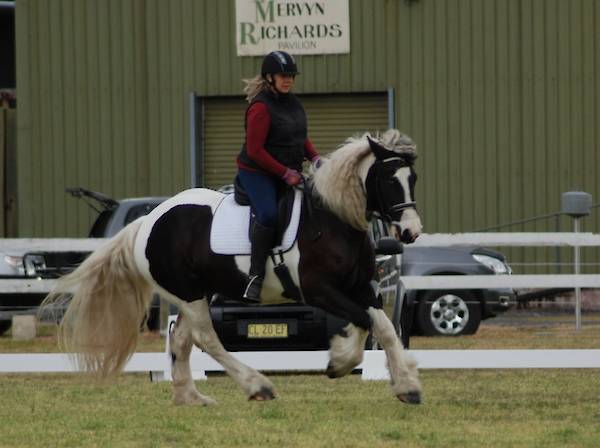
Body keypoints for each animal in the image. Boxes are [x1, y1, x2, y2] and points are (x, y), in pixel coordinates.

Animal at [43, 128, 423, 405]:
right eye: (389, 180)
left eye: (413, 179)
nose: (411, 231)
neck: (333, 219)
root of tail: (148, 221)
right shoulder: (319, 290)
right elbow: (361, 321)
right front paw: (340, 362)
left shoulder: (360, 288)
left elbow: (383, 327)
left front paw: (407, 386)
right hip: (189, 294)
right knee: (206, 339)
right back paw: (257, 386)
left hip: (199, 292)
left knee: (181, 339)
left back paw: (190, 397)